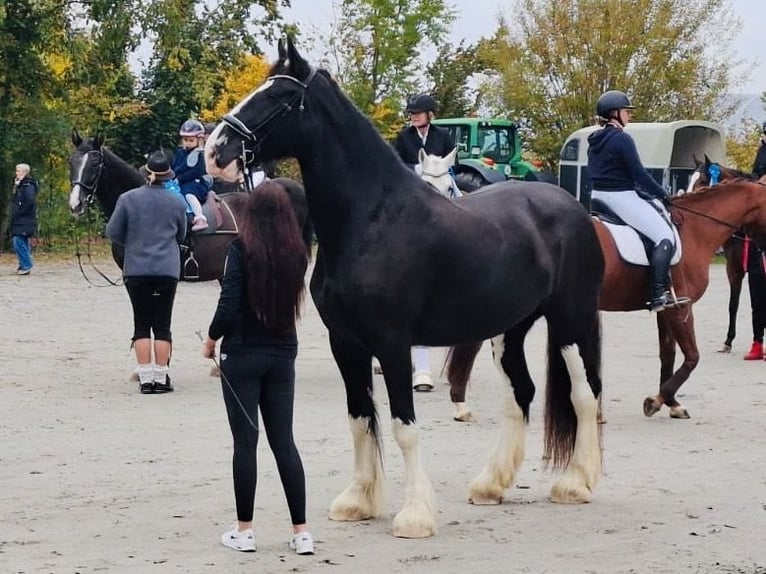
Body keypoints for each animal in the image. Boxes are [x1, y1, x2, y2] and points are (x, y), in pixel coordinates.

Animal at [205, 37, 605, 539]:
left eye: (278, 96)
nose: (215, 150)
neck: (372, 218)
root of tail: (571, 207)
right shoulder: (346, 343)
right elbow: (359, 420)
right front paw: (357, 501)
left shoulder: (393, 343)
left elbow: (403, 426)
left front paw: (414, 515)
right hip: (510, 328)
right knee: (521, 394)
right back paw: (491, 484)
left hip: (571, 320)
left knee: (584, 395)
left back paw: (576, 483)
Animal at [446, 176, 766, 422]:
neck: (693, 232)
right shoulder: (681, 307)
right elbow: (692, 357)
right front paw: (656, 400)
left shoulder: (666, 308)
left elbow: (668, 354)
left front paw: (672, 403)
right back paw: (463, 403)